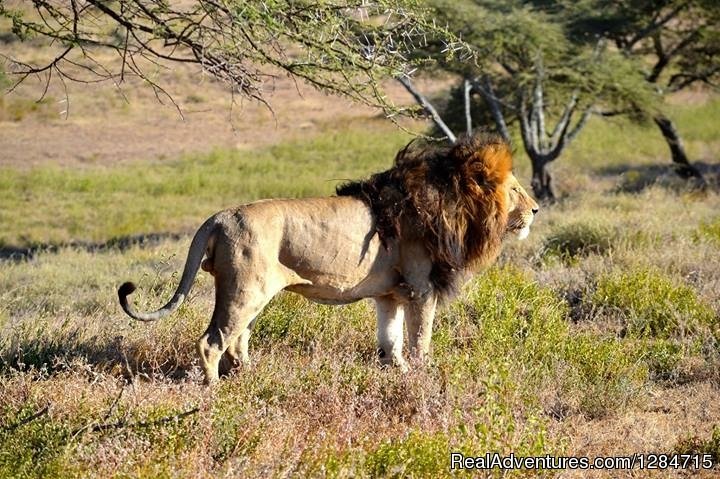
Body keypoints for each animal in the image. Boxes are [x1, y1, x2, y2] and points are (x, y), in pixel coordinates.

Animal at [118, 133, 536, 384]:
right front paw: (422, 376)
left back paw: (251, 377)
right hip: (244, 290)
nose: (536, 209)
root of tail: (219, 217)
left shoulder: (390, 294)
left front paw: (395, 373)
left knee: (238, 339)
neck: (454, 204)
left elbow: (391, 340)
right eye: (515, 189)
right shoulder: (422, 288)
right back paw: (214, 389)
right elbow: (420, 340)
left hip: (247, 292)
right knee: (212, 341)